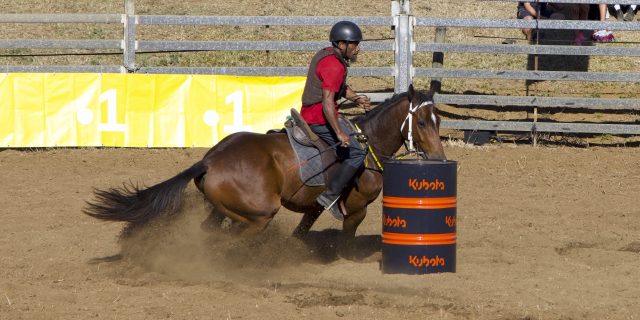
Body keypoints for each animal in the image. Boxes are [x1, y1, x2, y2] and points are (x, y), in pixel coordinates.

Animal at [84, 85, 444, 258]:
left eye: (439, 120)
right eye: (422, 122)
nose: (438, 156)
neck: (367, 145)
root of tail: (211, 160)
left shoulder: (313, 206)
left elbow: (302, 230)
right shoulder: (356, 208)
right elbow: (346, 241)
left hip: (223, 208)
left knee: (209, 232)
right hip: (258, 215)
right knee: (226, 240)